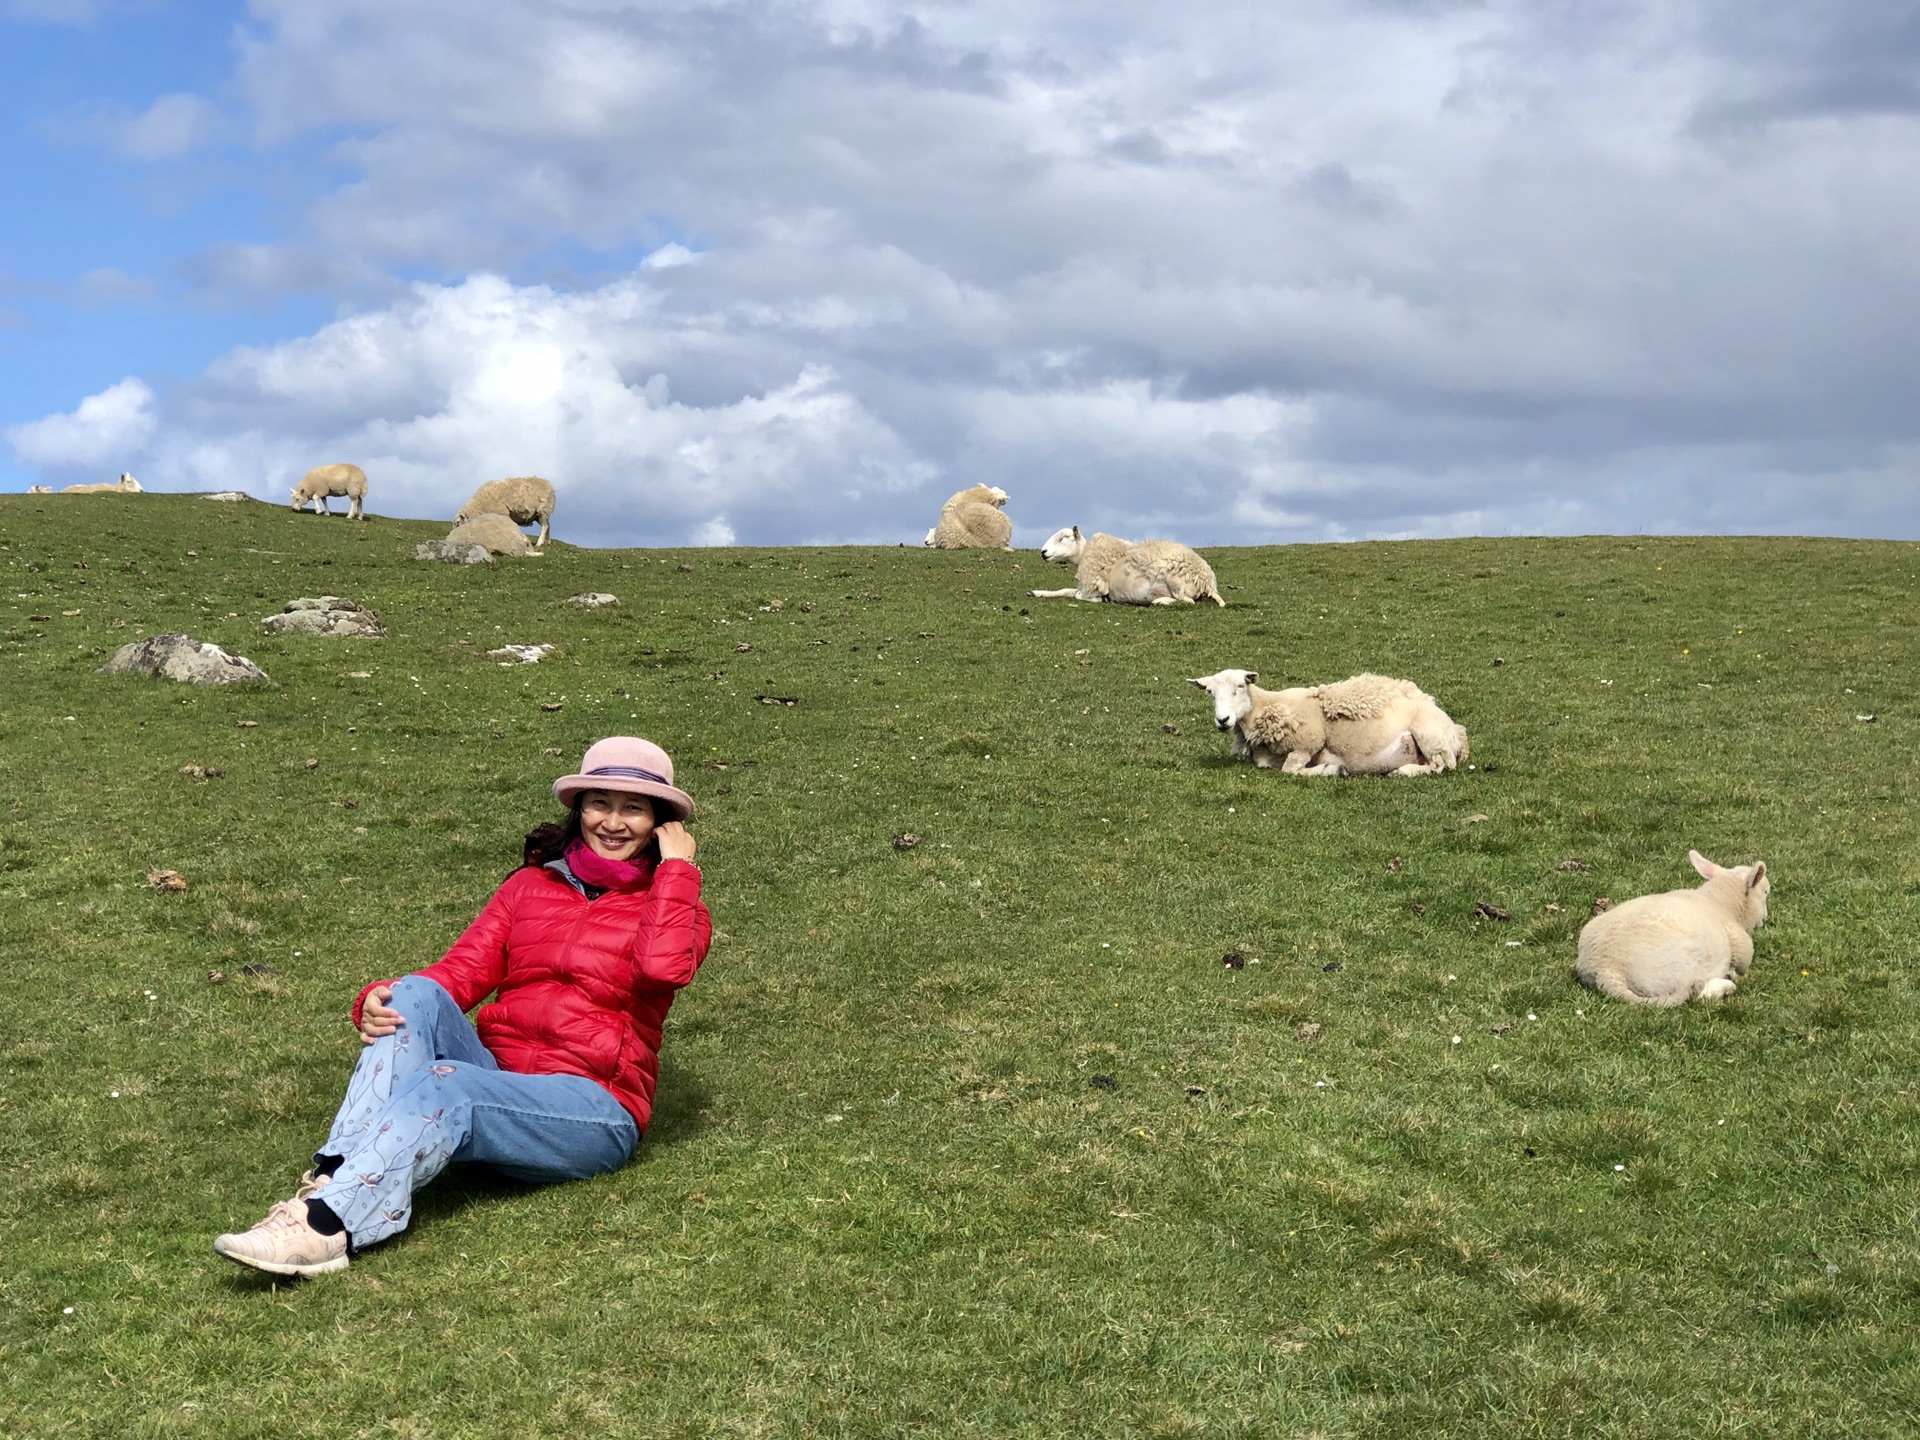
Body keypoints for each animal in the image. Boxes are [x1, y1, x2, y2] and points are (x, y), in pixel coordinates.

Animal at [1036, 526, 1228, 606]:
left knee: (1187, 601)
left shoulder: (1094, 585)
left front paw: (1101, 600)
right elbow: (1065, 590)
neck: (1084, 553)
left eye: (1064, 537)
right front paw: (1037, 592)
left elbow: (1077, 595)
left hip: (1175, 582)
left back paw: (1161, 601)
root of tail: (1208, 581)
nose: (1043, 552)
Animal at [1182, 668, 1466, 779]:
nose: (1223, 720)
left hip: (1430, 736)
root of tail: (1456, 732)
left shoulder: (1307, 742)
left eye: (1240, 686)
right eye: (1210, 692)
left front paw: (1332, 769)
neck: (1267, 705)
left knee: (1441, 766)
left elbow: (1290, 770)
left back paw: (1403, 771)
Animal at [1574, 852, 1766, 1006]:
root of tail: (1607, 970)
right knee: (1699, 995)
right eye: (1766, 893)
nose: (1765, 919)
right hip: (1680, 974)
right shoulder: (1741, 947)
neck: (1719, 901)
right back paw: (1725, 986)